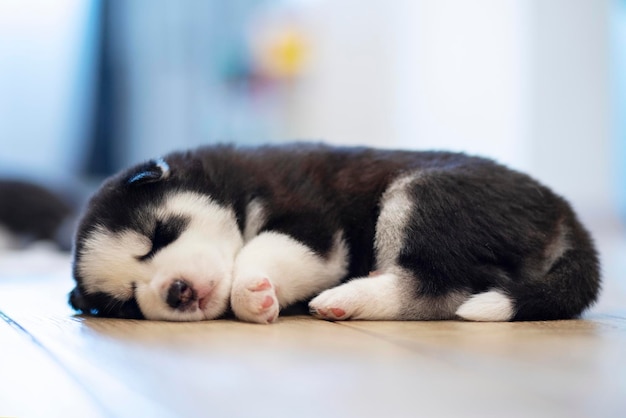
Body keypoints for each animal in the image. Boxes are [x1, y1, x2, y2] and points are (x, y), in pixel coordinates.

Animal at [68, 144, 600, 324]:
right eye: (127, 302)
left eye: (159, 234)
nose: (176, 291)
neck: (229, 186)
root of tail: (563, 210)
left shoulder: (314, 226)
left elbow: (267, 249)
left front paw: (253, 291)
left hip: (422, 194)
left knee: (443, 287)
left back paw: (349, 297)